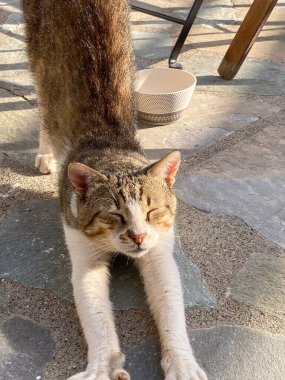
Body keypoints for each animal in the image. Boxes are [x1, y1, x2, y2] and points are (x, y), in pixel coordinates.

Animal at [21, 0, 206, 380]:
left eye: (152, 211)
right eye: (113, 215)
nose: (137, 237)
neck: (109, 146)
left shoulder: (160, 254)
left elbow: (171, 310)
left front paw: (183, 364)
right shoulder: (83, 256)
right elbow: (96, 318)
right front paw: (101, 367)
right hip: (41, 60)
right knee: (46, 109)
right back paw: (46, 152)